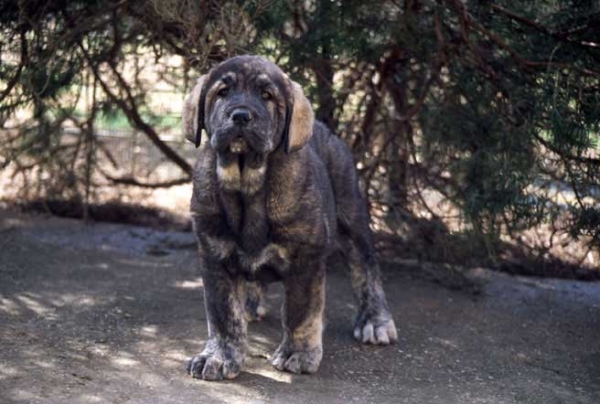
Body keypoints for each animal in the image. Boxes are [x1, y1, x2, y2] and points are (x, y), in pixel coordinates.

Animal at [183, 55, 398, 380]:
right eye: (222, 92)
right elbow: (223, 314)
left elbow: (300, 311)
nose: (241, 116)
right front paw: (219, 356)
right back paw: (250, 304)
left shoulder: (305, 260)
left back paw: (375, 320)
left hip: (352, 219)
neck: (248, 185)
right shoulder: (214, 255)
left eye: (267, 95)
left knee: (366, 268)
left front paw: (298, 354)